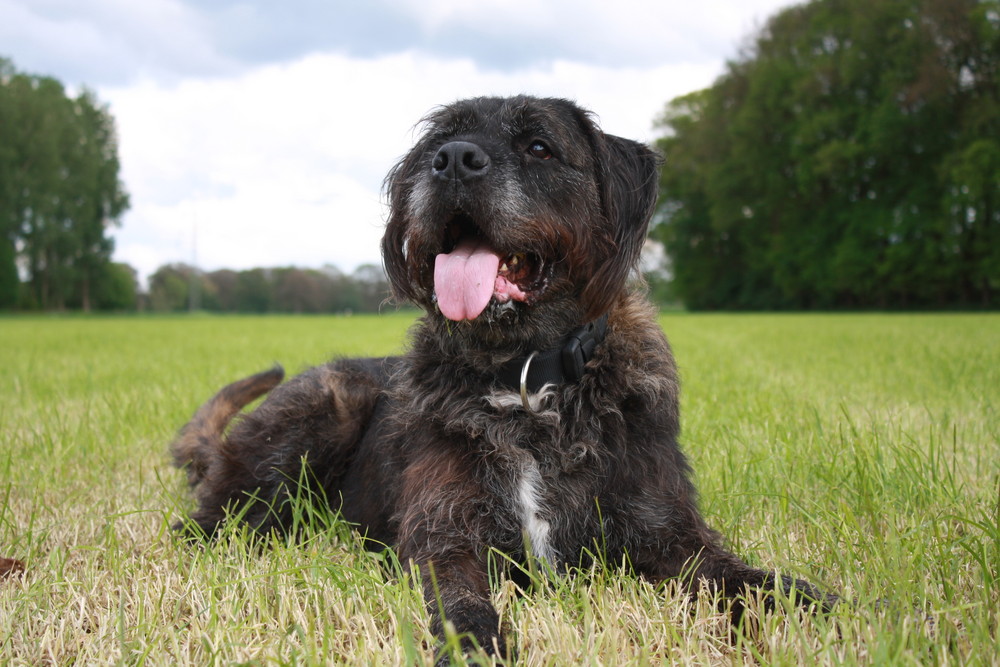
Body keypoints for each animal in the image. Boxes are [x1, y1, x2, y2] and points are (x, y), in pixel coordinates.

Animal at [174, 95, 836, 664]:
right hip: (314, 417)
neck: (524, 376)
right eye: (437, 143)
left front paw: (824, 607)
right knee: (205, 523)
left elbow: (746, 579)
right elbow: (462, 608)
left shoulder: (667, 532)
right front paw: (476, 650)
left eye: (539, 147)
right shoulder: (446, 536)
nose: (453, 160)